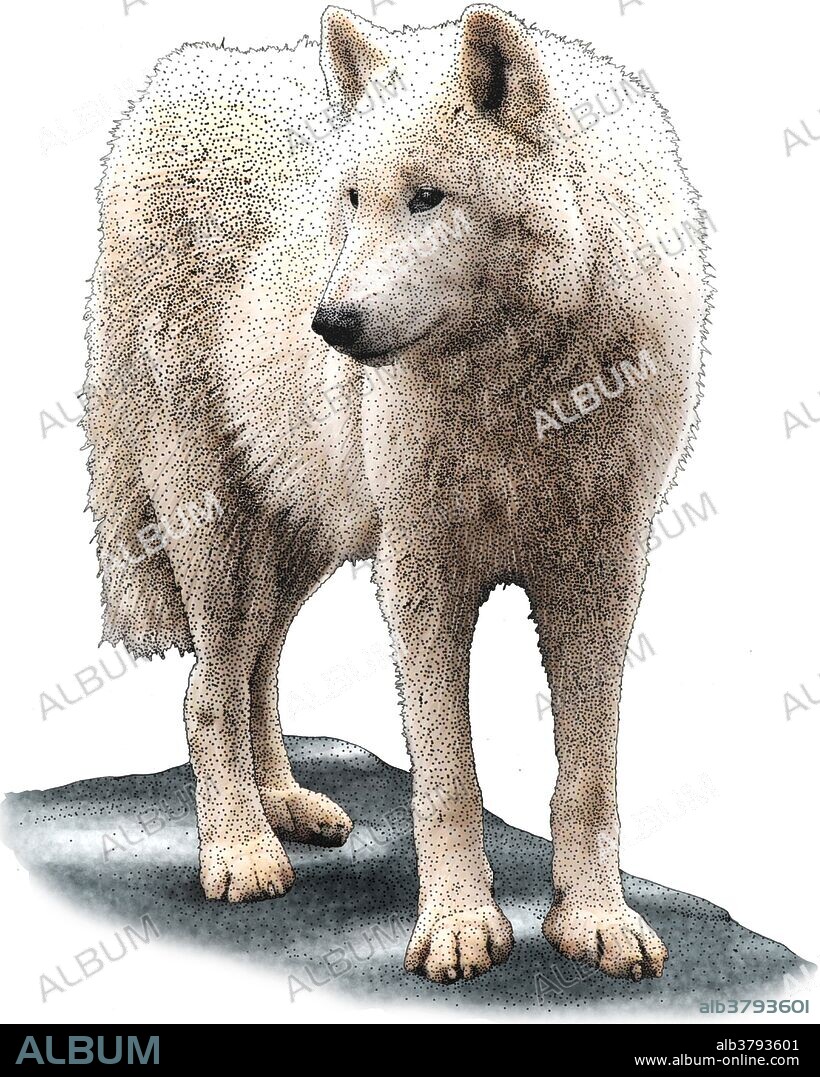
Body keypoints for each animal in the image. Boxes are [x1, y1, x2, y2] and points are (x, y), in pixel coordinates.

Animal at [83, 4, 708, 983]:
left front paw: (596, 921)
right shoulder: (422, 571)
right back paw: (241, 852)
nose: (329, 325)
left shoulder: (601, 570)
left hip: (305, 529)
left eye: (428, 198)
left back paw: (285, 804)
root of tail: (175, 76)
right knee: (206, 692)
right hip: (215, 526)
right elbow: (447, 774)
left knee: (257, 663)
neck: (520, 387)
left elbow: (591, 775)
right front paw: (458, 926)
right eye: (352, 200)